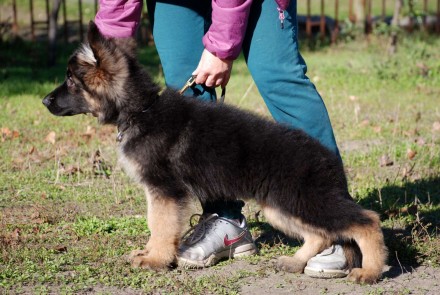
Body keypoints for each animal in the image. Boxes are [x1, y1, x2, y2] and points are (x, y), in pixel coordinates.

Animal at [42, 21, 384, 284]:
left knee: (366, 221)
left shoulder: (165, 190)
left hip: (307, 200)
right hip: (281, 205)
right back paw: (295, 262)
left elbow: (161, 226)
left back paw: (370, 271)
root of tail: (328, 159)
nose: (45, 101)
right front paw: (150, 253)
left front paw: (156, 260)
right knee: (322, 234)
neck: (142, 109)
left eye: (70, 80)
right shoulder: (157, 191)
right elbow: (155, 224)